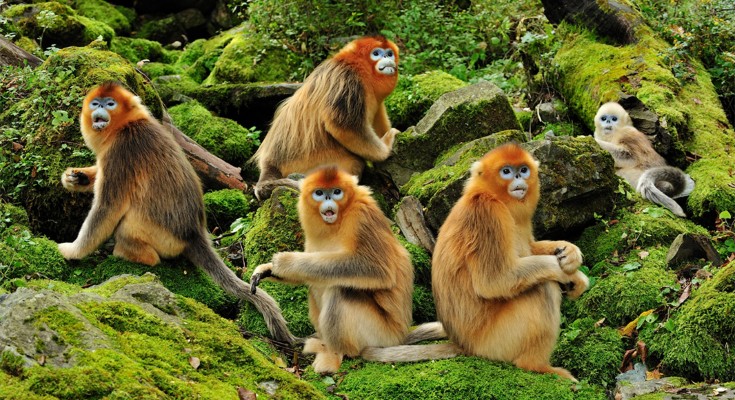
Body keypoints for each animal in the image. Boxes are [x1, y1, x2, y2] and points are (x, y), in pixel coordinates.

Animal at [57, 82, 296, 344]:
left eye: (109, 103)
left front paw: (71, 251)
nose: (99, 109)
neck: (127, 125)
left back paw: (128, 252)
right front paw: (76, 177)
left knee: (128, 226)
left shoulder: (121, 152)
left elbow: (107, 207)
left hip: (161, 236)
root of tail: (195, 234)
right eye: (95, 103)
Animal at [249, 166, 453, 373]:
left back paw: (335, 354)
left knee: (339, 290)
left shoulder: (361, 217)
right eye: (319, 193)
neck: (338, 220)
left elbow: (376, 269)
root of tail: (400, 335)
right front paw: (268, 269)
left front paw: (285, 262)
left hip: (379, 333)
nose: (328, 199)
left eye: (337, 192)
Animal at [252, 35, 400, 200]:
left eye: (389, 53)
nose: (387, 58)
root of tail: (269, 163)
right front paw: (386, 148)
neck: (360, 70)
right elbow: (342, 125)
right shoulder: (347, 81)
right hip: (308, 162)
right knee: (354, 163)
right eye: (376, 53)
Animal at [430, 143, 589, 382]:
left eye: (523, 169)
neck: (496, 197)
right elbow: (494, 281)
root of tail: (463, 345)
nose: (518, 177)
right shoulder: (488, 213)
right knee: (542, 288)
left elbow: (530, 248)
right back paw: (537, 366)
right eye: (506, 171)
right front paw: (569, 274)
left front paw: (570, 254)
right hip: (495, 344)